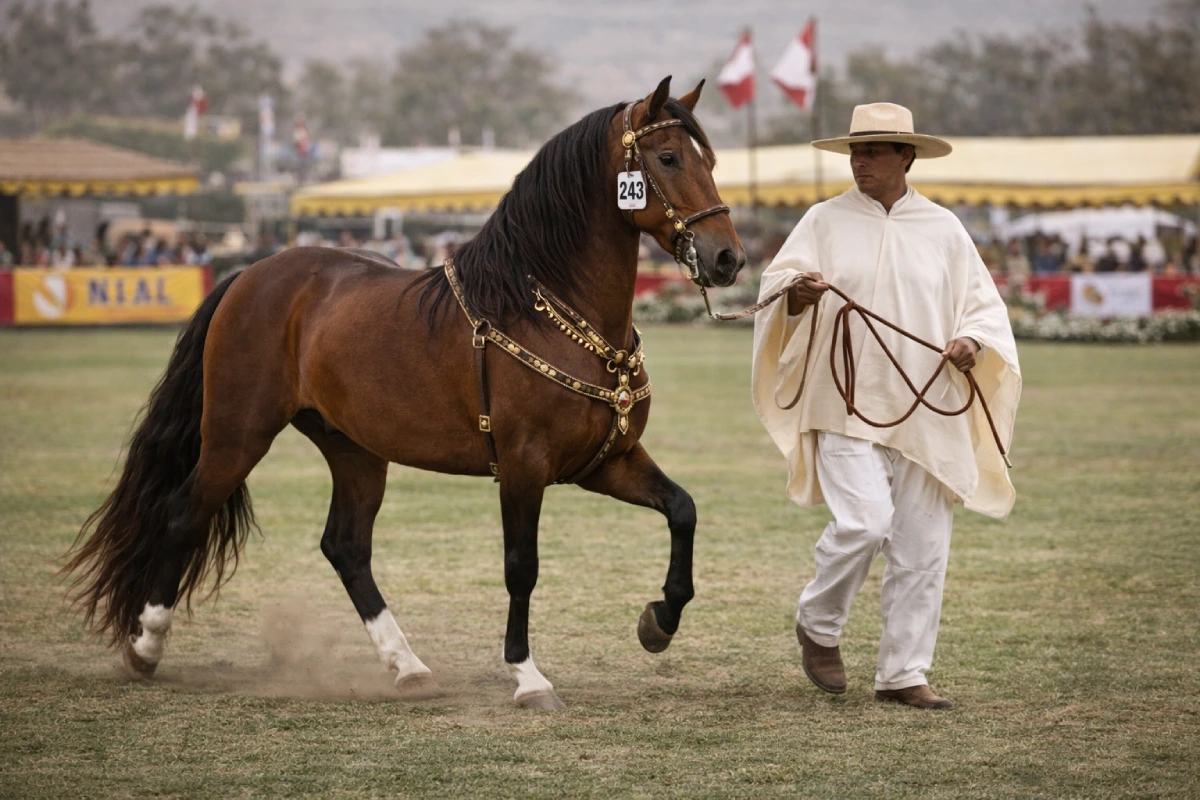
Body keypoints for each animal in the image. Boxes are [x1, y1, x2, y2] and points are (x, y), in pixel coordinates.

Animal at [62, 76, 746, 710]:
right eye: (667, 158)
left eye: (709, 160)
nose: (728, 258)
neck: (545, 307)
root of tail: (250, 273)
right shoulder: (524, 466)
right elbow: (521, 567)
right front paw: (527, 677)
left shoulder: (605, 461)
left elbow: (682, 509)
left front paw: (658, 621)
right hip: (237, 433)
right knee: (185, 513)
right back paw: (146, 645)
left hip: (354, 448)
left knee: (345, 546)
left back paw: (407, 665)